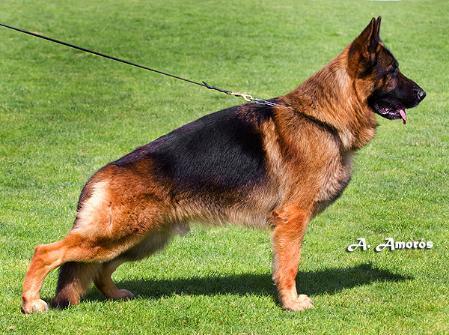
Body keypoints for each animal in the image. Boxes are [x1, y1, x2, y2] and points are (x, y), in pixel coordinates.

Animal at [21, 17, 428, 314]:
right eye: (392, 71)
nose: (424, 93)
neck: (323, 118)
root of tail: (102, 174)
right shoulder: (292, 221)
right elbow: (289, 265)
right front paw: (291, 303)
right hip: (116, 235)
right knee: (47, 251)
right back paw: (31, 303)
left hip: (141, 238)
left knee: (101, 268)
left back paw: (115, 294)